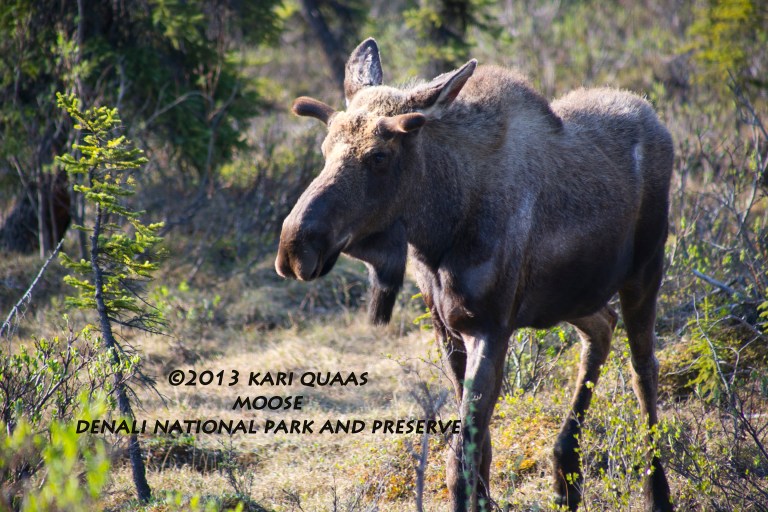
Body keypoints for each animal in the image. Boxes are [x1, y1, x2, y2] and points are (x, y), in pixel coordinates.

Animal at [275, 38, 674, 512]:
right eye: (324, 150)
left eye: (379, 155)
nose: (295, 247)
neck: (439, 228)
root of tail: (656, 118)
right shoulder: (448, 330)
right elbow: (472, 453)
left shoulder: (491, 327)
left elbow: (462, 459)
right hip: (570, 298)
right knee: (602, 328)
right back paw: (565, 472)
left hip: (644, 272)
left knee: (643, 369)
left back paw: (655, 492)